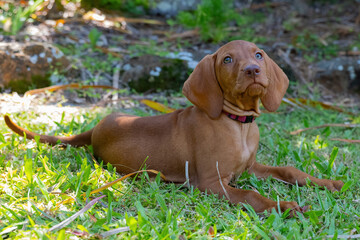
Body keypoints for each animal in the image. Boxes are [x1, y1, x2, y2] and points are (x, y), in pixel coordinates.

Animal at [4, 40, 344, 214]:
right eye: (228, 59)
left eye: (258, 55)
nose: (253, 70)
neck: (238, 124)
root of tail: (97, 126)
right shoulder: (211, 183)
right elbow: (251, 195)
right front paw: (285, 206)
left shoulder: (249, 168)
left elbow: (289, 169)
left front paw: (327, 183)